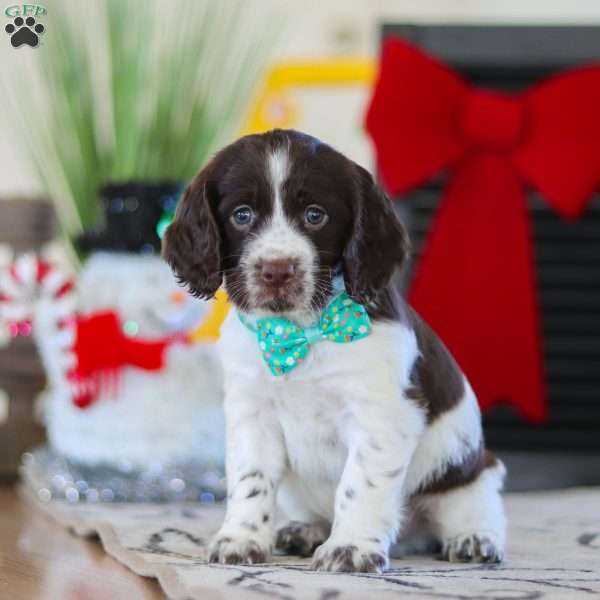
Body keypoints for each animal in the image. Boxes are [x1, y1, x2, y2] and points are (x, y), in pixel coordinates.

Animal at [164, 127, 506, 572]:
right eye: (241, 215)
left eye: (315, 215)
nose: (277, 270)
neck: (301, 332)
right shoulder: (252, 412)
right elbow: (250, 479)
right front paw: (241, 538)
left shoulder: (381, 415)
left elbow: (360, 484)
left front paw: (351, 547)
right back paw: (304, 530)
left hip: (468, 470)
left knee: (474, 502)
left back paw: (474, 539)